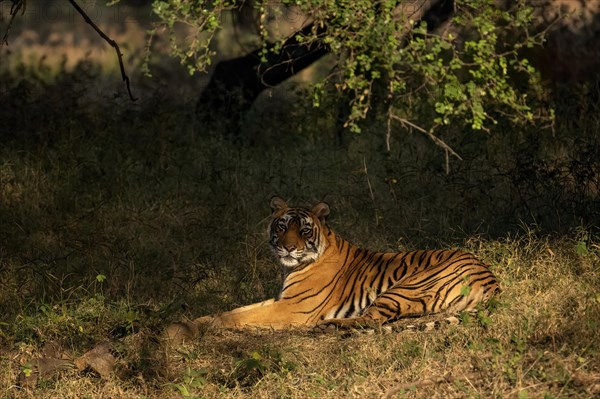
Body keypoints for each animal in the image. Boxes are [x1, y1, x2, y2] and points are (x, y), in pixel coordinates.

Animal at [182, 198, 496, 334]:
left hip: (406, 286)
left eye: (304, 231)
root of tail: (491, 279)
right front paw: (195, 322)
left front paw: (208, 327)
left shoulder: (292, 307)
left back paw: (329, 325)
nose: (288, 247)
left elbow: (241, 317)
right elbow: (237, 310)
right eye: (282, 227)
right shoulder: (280, 299)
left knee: (372, 319)